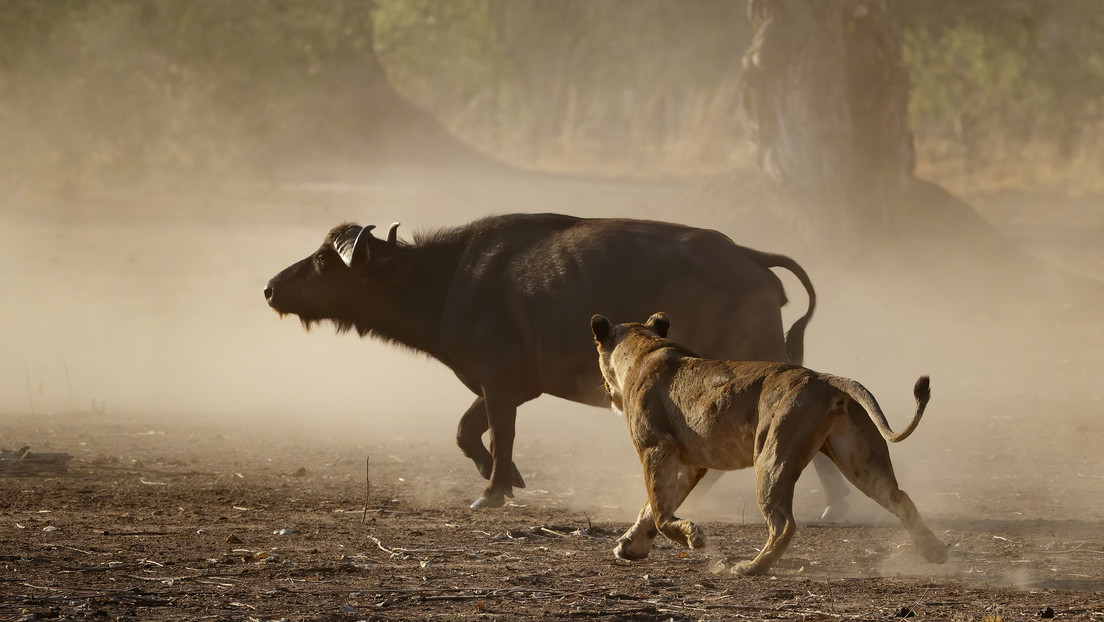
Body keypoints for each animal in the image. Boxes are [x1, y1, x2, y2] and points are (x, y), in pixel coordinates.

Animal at [590, 312, 948, 576]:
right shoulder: (690, 463)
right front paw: (630, 545)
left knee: (784, 524)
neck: (645, 347)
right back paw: (934, 551)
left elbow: (660, 509)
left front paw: (692, 537)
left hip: (771, 458)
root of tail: (823, 377)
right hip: (860, 460)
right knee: (899, 497)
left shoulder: (656, 447)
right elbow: (650, 508)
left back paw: (750, 567)